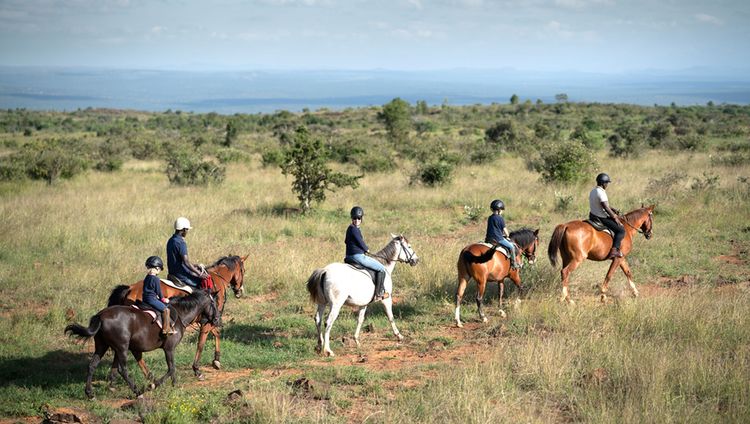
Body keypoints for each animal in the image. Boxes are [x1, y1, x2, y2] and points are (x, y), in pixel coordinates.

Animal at [64, 290, 219, 400]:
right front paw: (154, 385)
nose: (217, 319)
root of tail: (101, 315)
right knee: (123, 370)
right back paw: (138, 392)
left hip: (104, 346)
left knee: (92, 365)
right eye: (215, 304)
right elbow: (171, 369)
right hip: (122, 348)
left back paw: (90, 394)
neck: (180, 314)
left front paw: (174, 385)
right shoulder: (169, 349)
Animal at [106, 253, 247, 380]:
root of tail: (130, 288)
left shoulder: (209, 320)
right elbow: (201, 343)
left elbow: (216, 333)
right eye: (243, 271)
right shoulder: (208, 321)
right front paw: (197, 369)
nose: (239, 291)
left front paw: (216, 360)